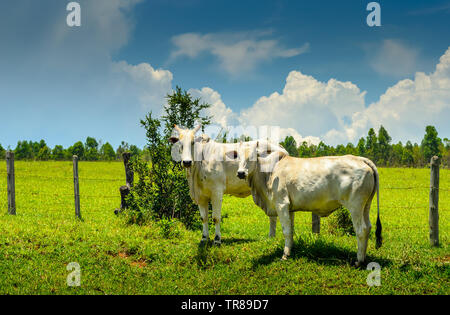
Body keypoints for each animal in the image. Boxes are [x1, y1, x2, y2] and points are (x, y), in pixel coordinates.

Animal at [237, 142, 382, 268]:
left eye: (252, 156)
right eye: (238, 156)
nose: (240, 173)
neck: (271, 172)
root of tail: (360, 159)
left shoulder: (281, 204)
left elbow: (286, 231)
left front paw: (284, 255)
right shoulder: (289, 209)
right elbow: (291, 230)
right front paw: (290, 250)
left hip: (355, 206)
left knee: (361, 230)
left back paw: (358, 261)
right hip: (366, 206)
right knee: (368, 227)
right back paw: (364, 258)